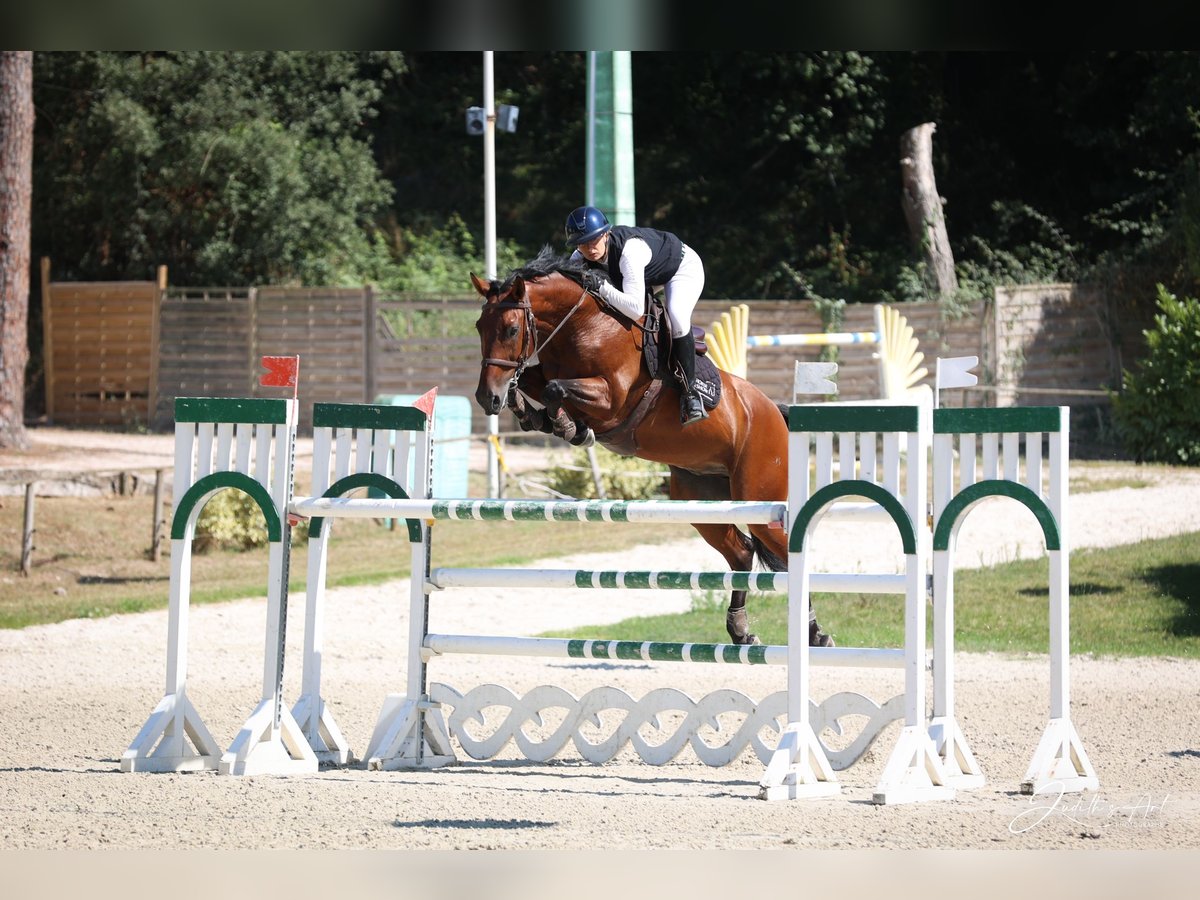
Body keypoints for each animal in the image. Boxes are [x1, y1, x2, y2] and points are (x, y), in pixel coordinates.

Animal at [471, 247, 833, 647]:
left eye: (511, 329)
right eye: (479, 328)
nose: (486, 398)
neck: (583, 325)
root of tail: (773, 411)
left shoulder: (612, 398)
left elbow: (554, 390)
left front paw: (568, 426)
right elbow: (533, 384)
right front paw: (532, 414)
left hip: (758, 495)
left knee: (783, 551)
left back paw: (816, 633)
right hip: (699, 498)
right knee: (742, 552)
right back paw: (740, 630)